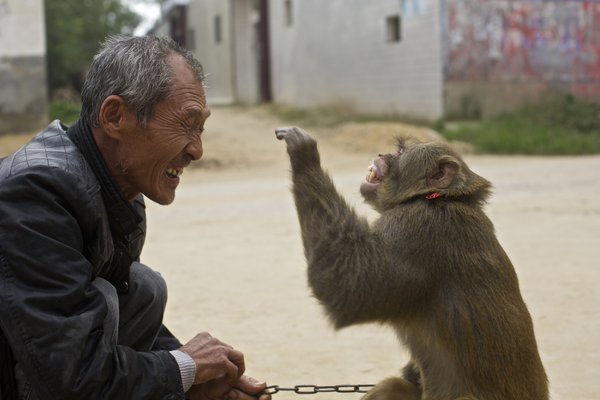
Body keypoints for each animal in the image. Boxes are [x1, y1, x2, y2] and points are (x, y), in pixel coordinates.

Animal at [276, 127, 548, 400]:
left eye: (400, 152)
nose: (382, 154)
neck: (437, 197)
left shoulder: (414, 229)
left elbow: (349, 287)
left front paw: (304, 156)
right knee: (390, 387)